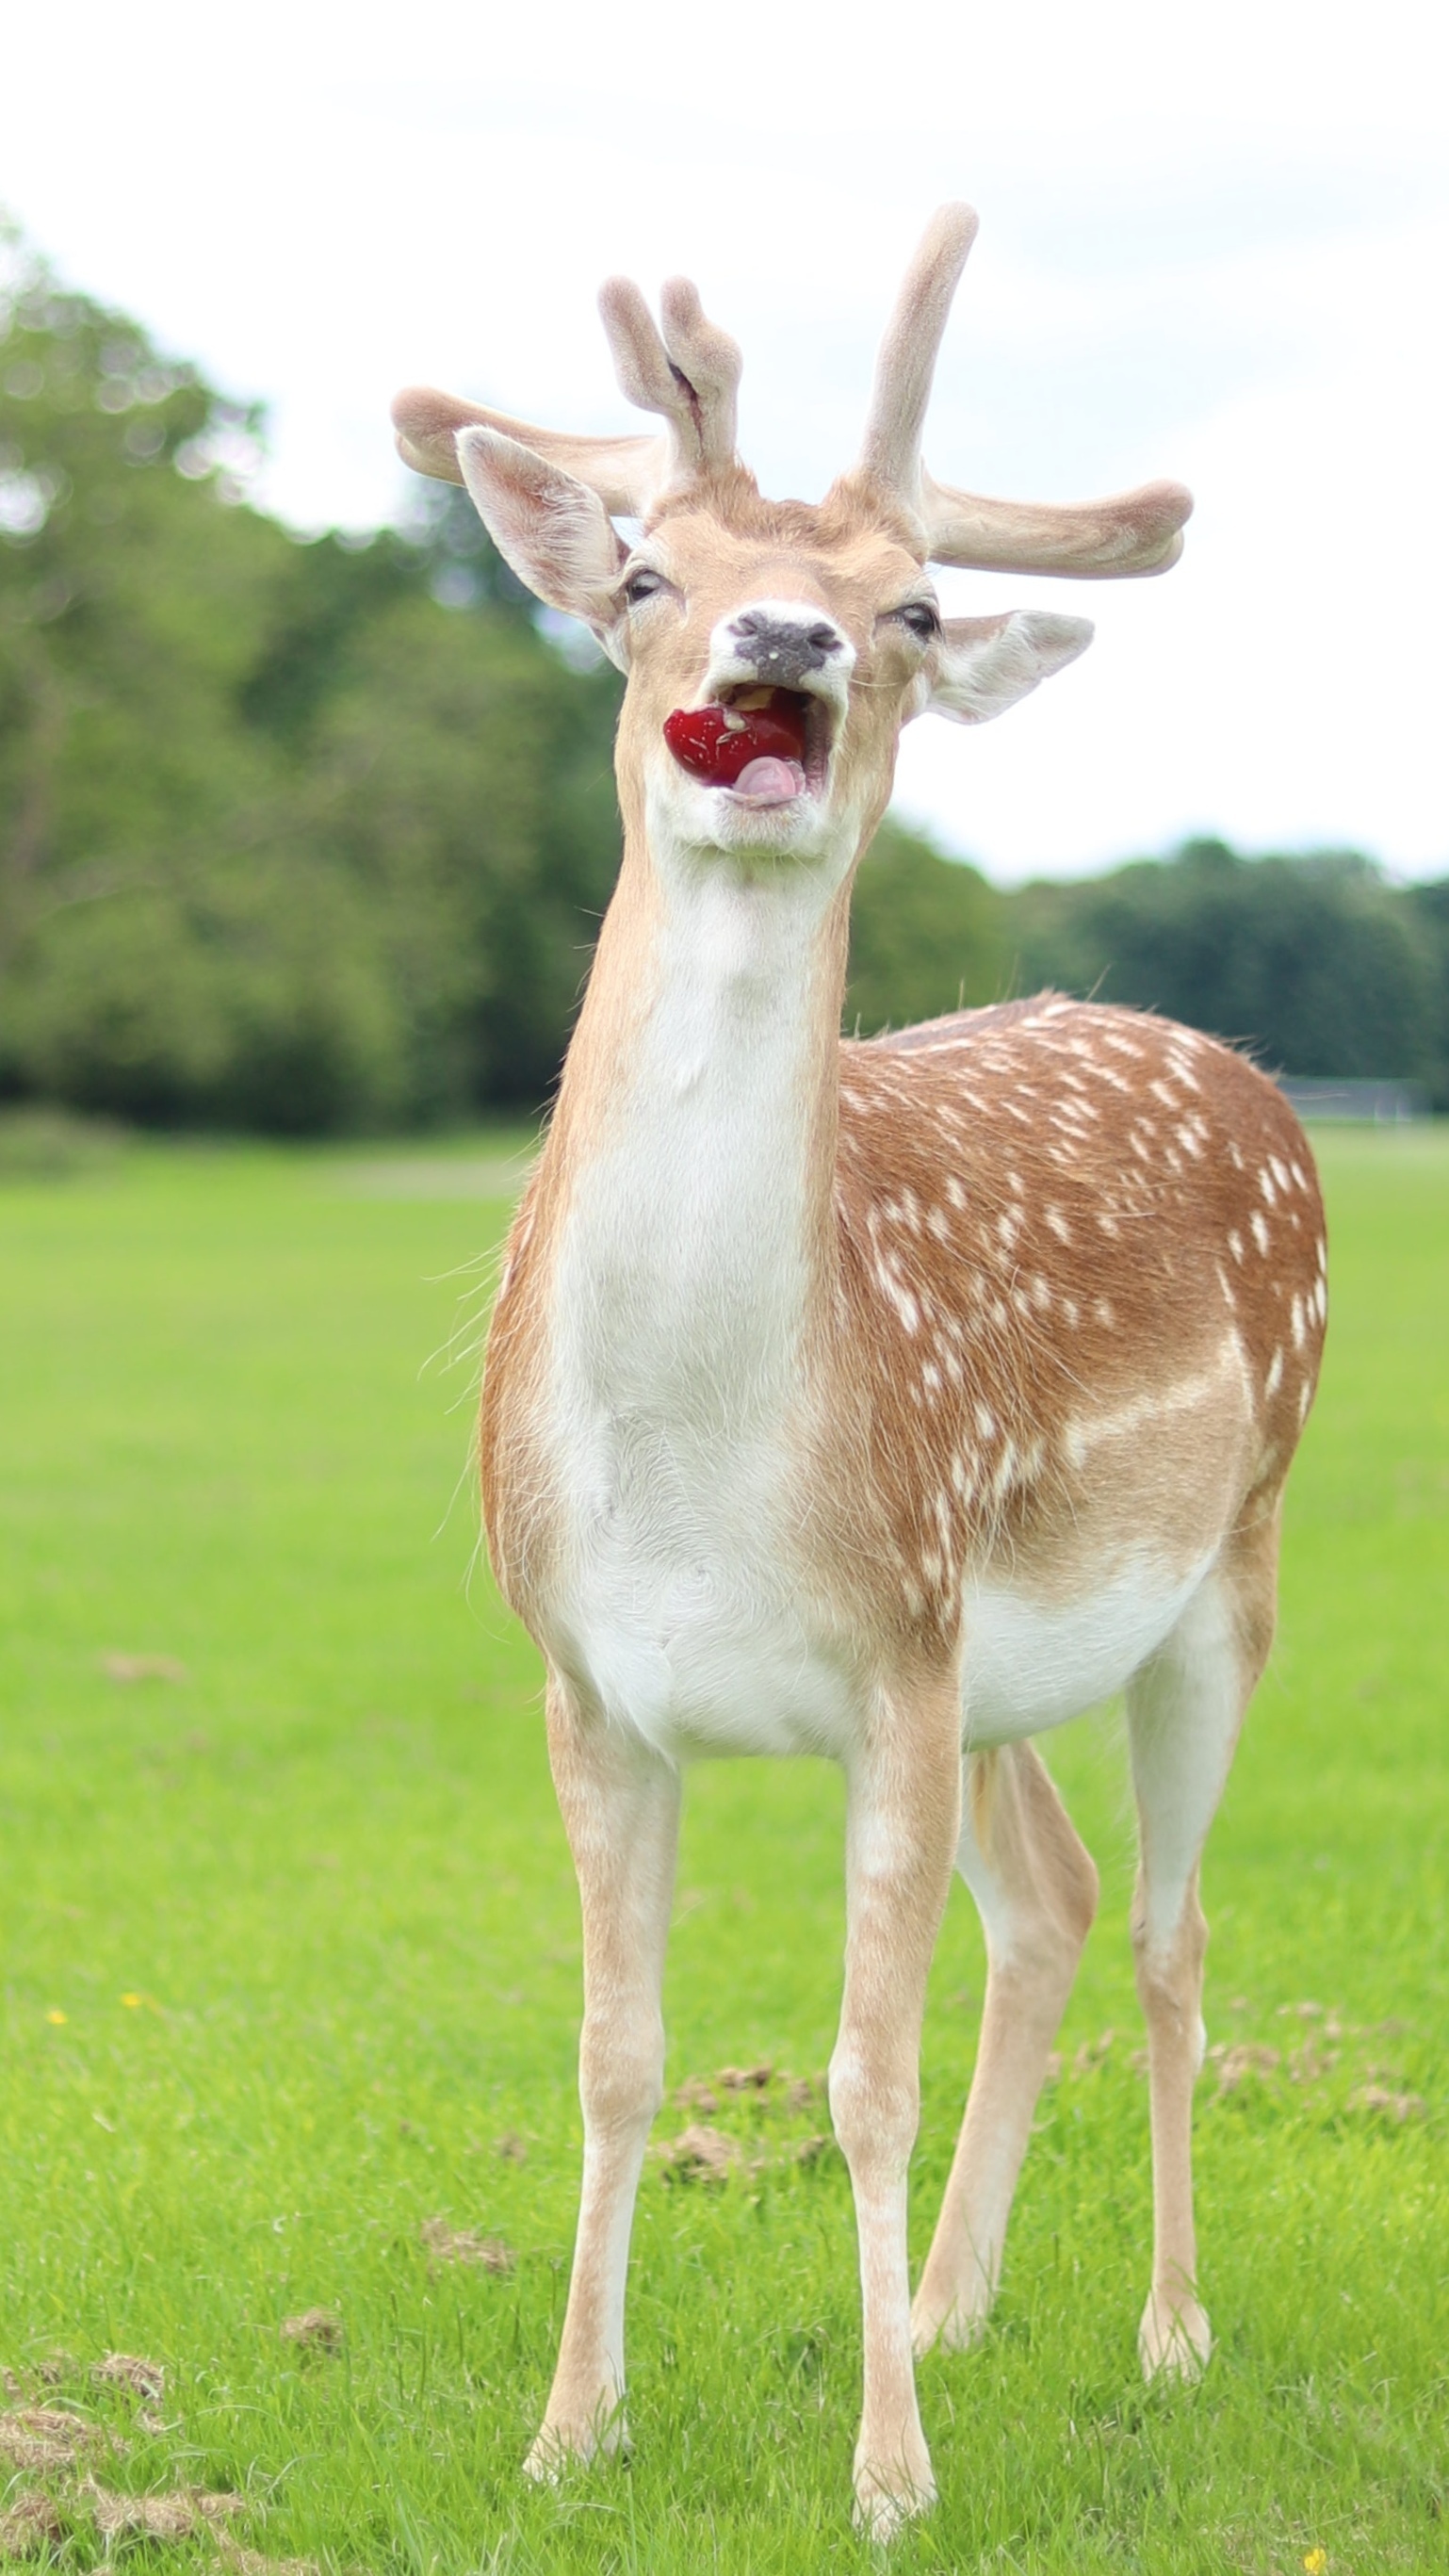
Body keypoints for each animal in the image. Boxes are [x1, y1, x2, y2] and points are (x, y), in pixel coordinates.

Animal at [393, 201, 1327, 2535]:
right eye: (644, 571)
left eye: (911, 602)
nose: (789, 636)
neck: (700, 1466)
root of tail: (1230, 1060)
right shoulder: (587, 1676)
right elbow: (614, 2055)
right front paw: (572, 2426)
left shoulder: (897, 1650)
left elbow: (857, 2068)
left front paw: (888, 2474)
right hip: (1001, 1664)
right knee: (1058, 1899)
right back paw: (969, 2296)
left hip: (1226, 1559)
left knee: (1168, 1927)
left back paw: (1164, 2328)